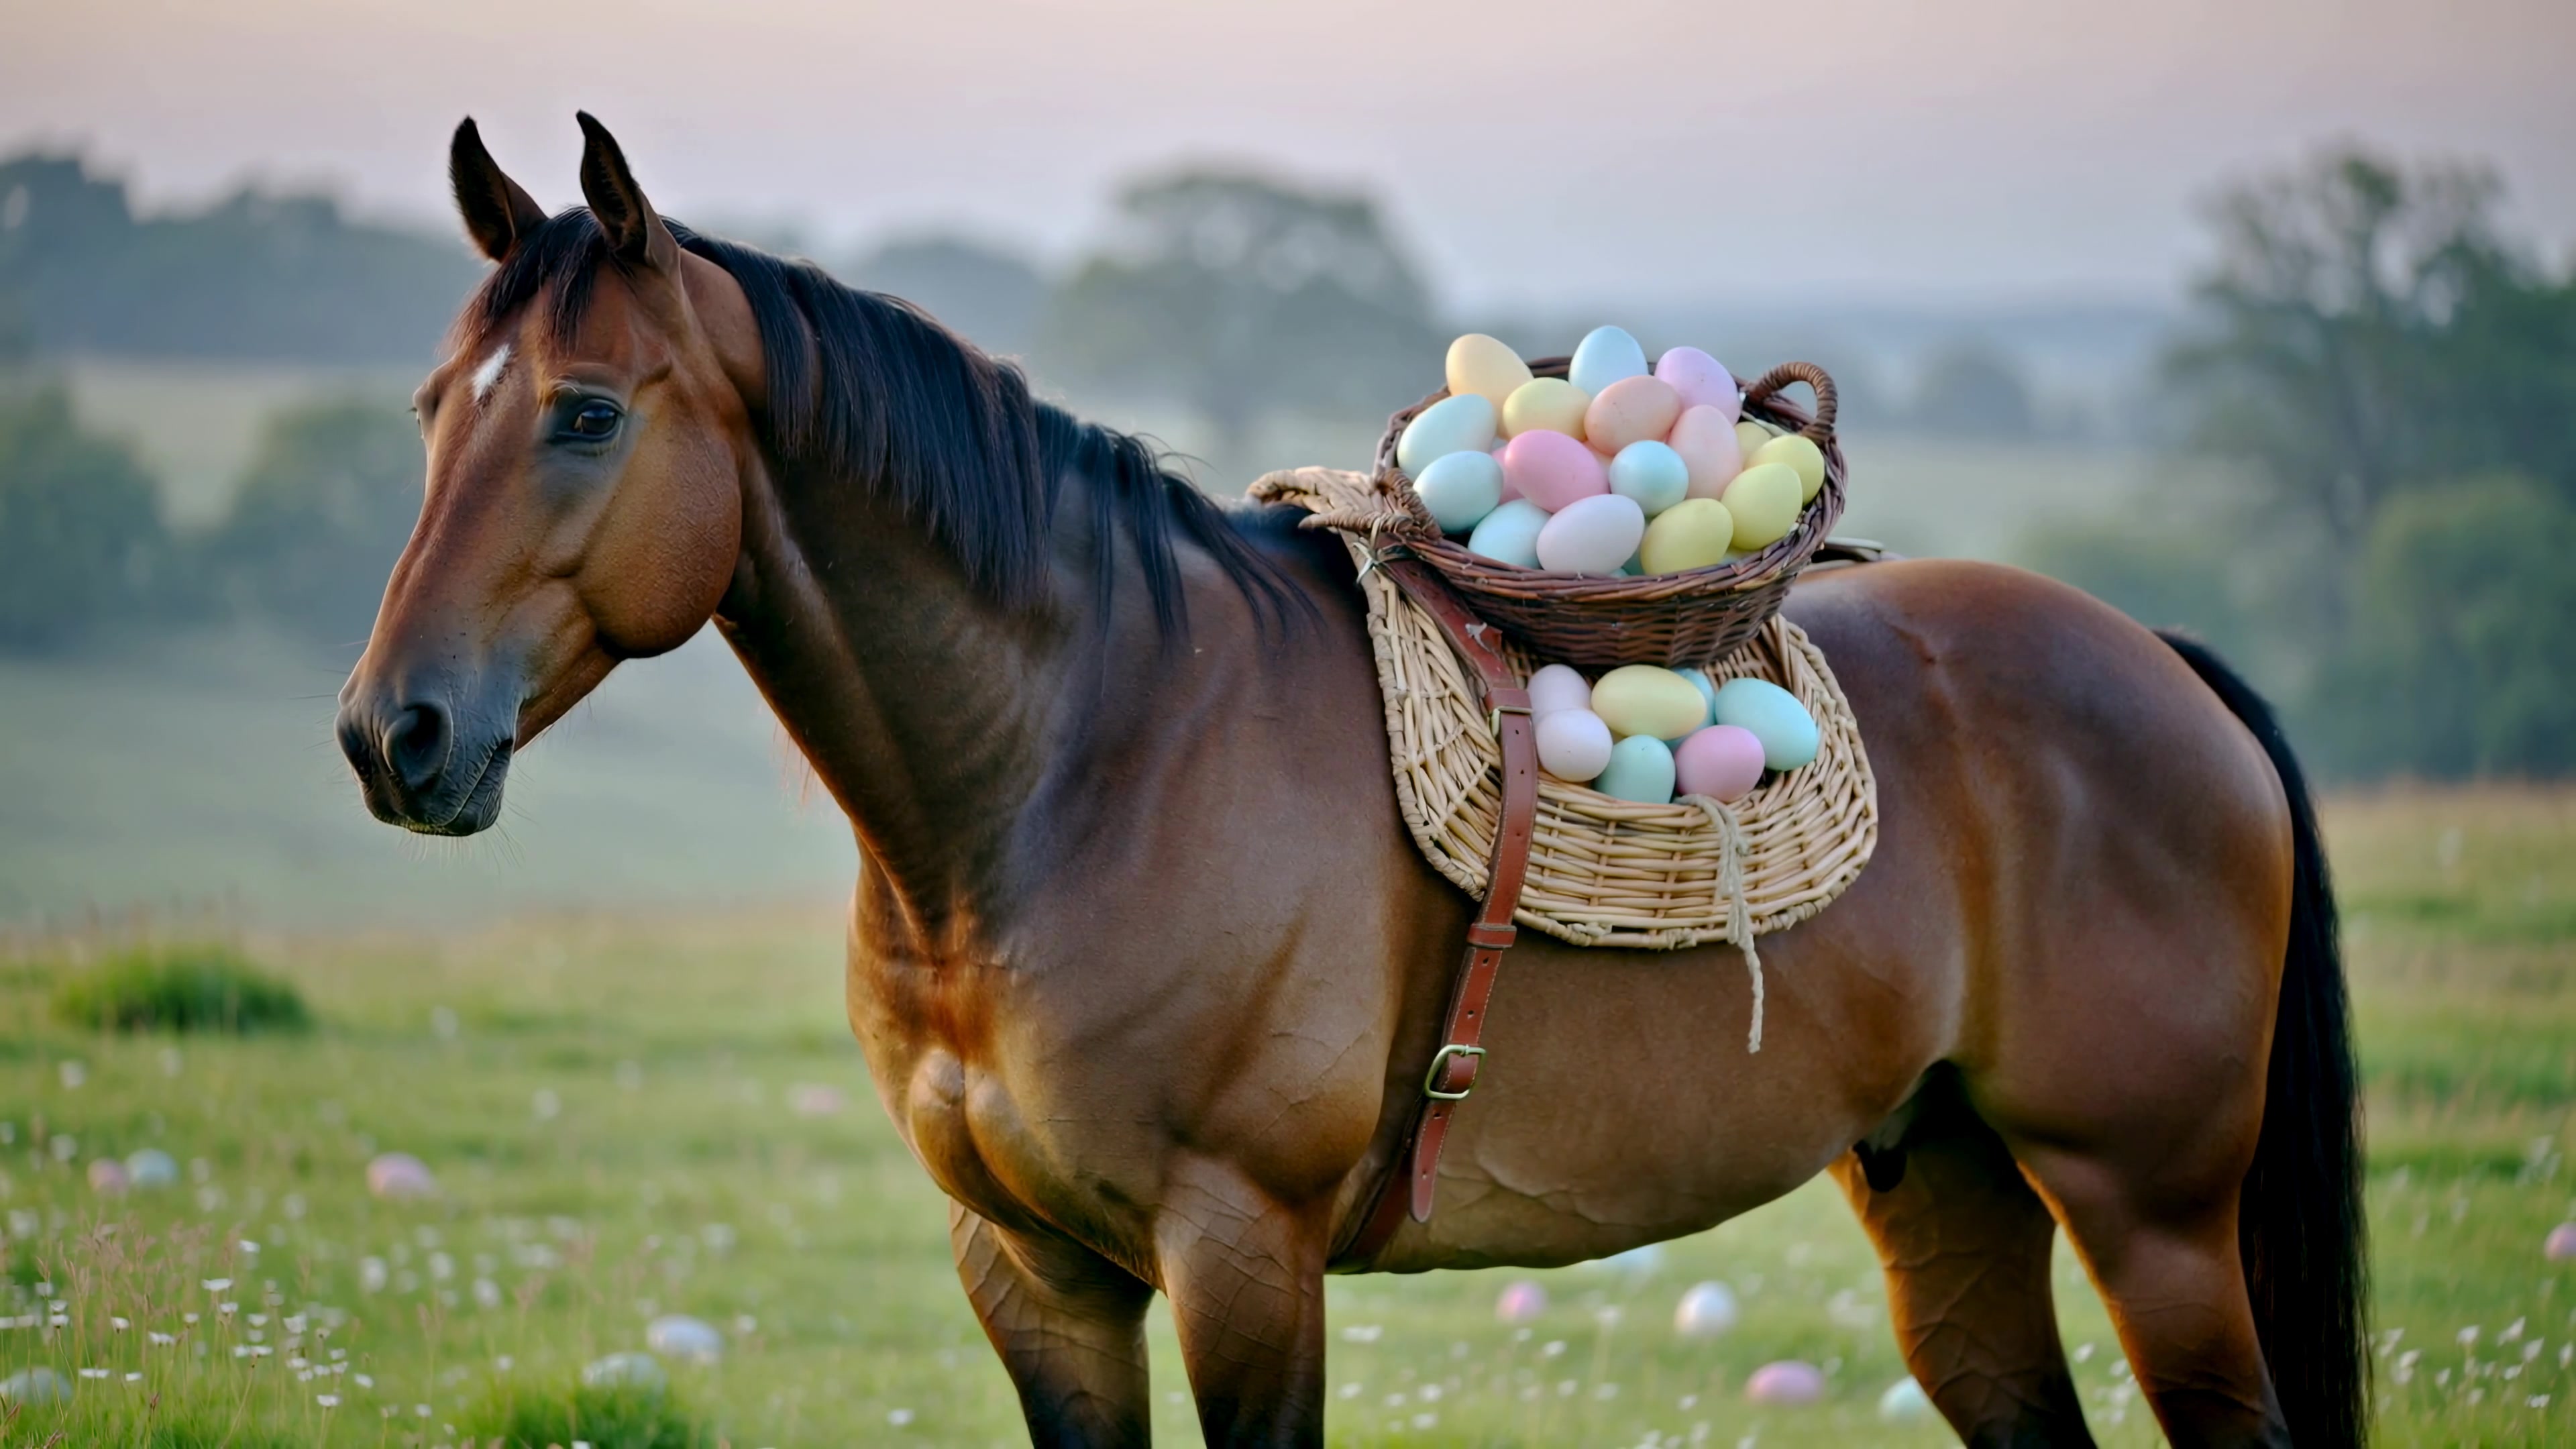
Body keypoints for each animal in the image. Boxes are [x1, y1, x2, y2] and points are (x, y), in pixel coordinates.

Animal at [335, 114, 2364, 1448]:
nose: (391, 735)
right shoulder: (1036, 1277)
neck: (1086, 758)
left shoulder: (1243, 1256)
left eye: (587, 414)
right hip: (1948, 1185)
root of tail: (2156, 660)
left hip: (2150, 1213)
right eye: (436, 411)